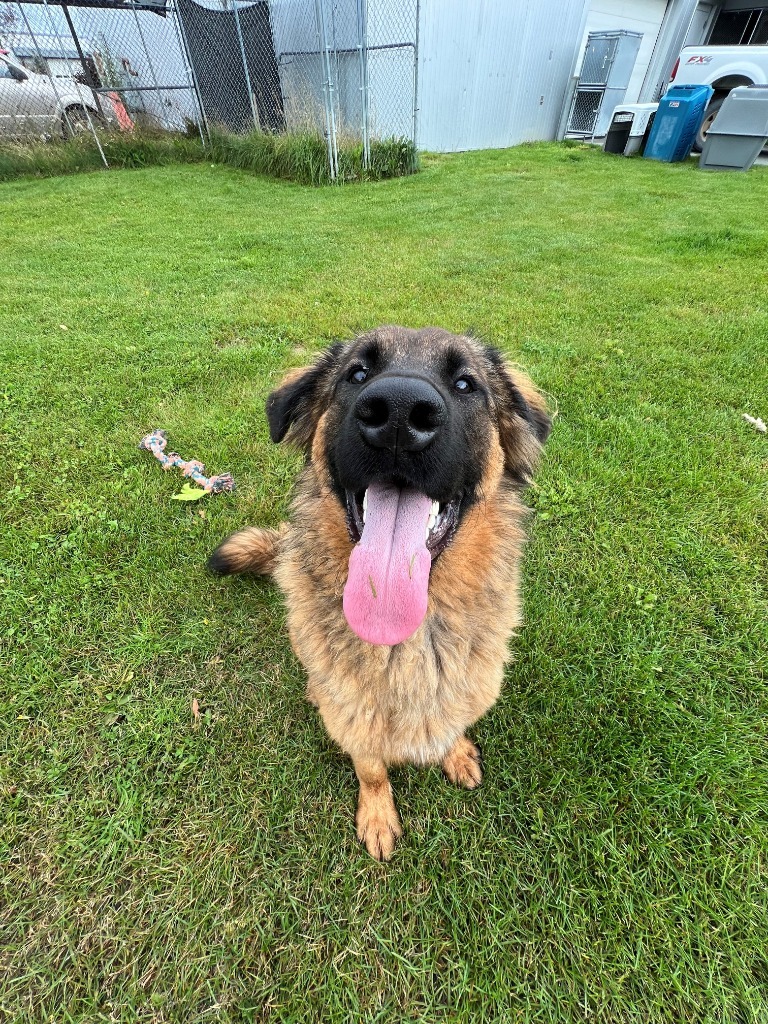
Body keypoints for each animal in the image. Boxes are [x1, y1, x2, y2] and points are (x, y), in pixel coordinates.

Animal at [207, 323, 548, 860]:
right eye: (357, 373)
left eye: (466, 384)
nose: (400, 415)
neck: (402, 635)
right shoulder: (352, 715)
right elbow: (370, 767)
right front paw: (378, 815)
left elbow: (452, 719)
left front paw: (455, 753)